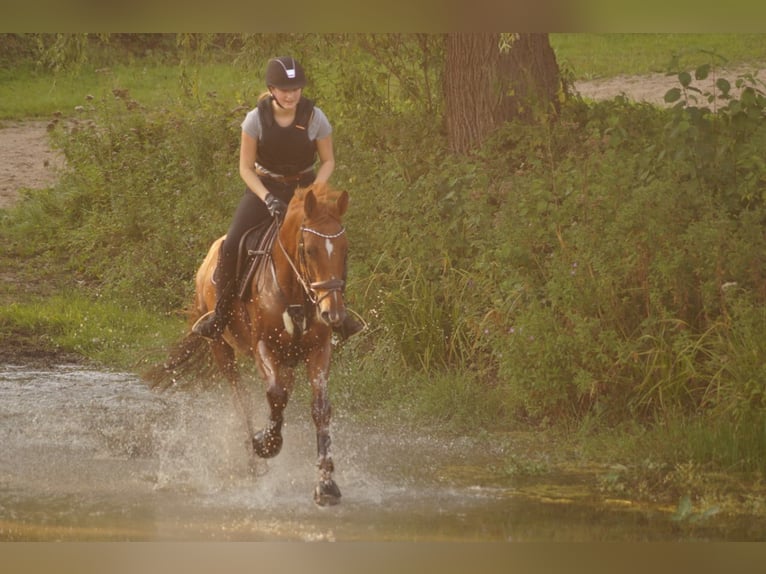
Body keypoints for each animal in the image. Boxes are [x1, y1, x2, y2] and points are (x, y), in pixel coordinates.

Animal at [154, 186, 352, 508]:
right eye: (310, 250)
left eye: (345, 250)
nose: (332, 313)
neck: (295, 290)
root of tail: (209, 256)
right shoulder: (263, 345)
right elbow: (274, 396)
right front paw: (266, 444)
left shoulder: (319, 349)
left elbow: (320, 408)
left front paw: (326, 484)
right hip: (221, 346)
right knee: (241, 397)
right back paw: (252, 460)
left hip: (287, 359)